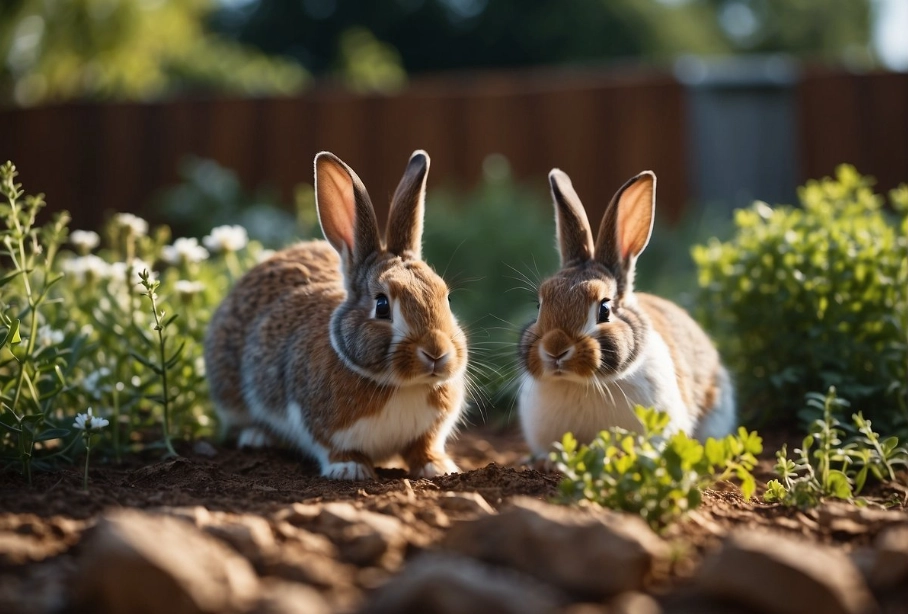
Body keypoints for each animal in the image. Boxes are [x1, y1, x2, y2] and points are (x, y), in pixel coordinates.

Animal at [204, 150, 468, 480]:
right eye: (382, 305)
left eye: (447, 298)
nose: (436, 353)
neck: (401, 385)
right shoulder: (318, 426)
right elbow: (334, 448)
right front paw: (350, 469)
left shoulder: (429, 431)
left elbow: (424, 447)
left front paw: (437, 466)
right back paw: (257, 437)